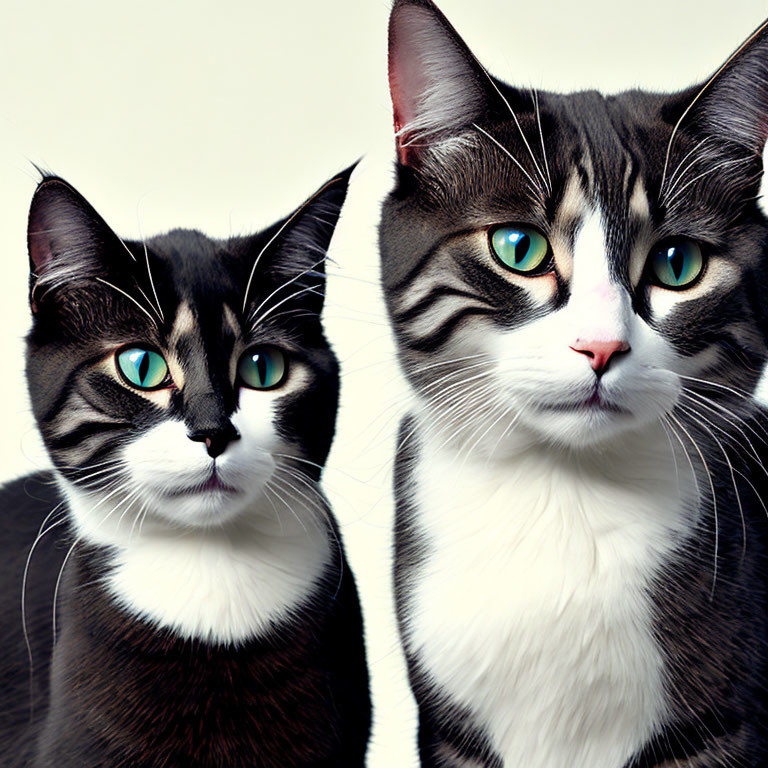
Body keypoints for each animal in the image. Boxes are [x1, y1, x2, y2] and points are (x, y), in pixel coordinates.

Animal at [380, 1, 768, 768]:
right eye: (518, 247)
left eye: (678, 263)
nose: (601, 345)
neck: (565, 491)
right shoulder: (452, 730)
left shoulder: (715, 726)